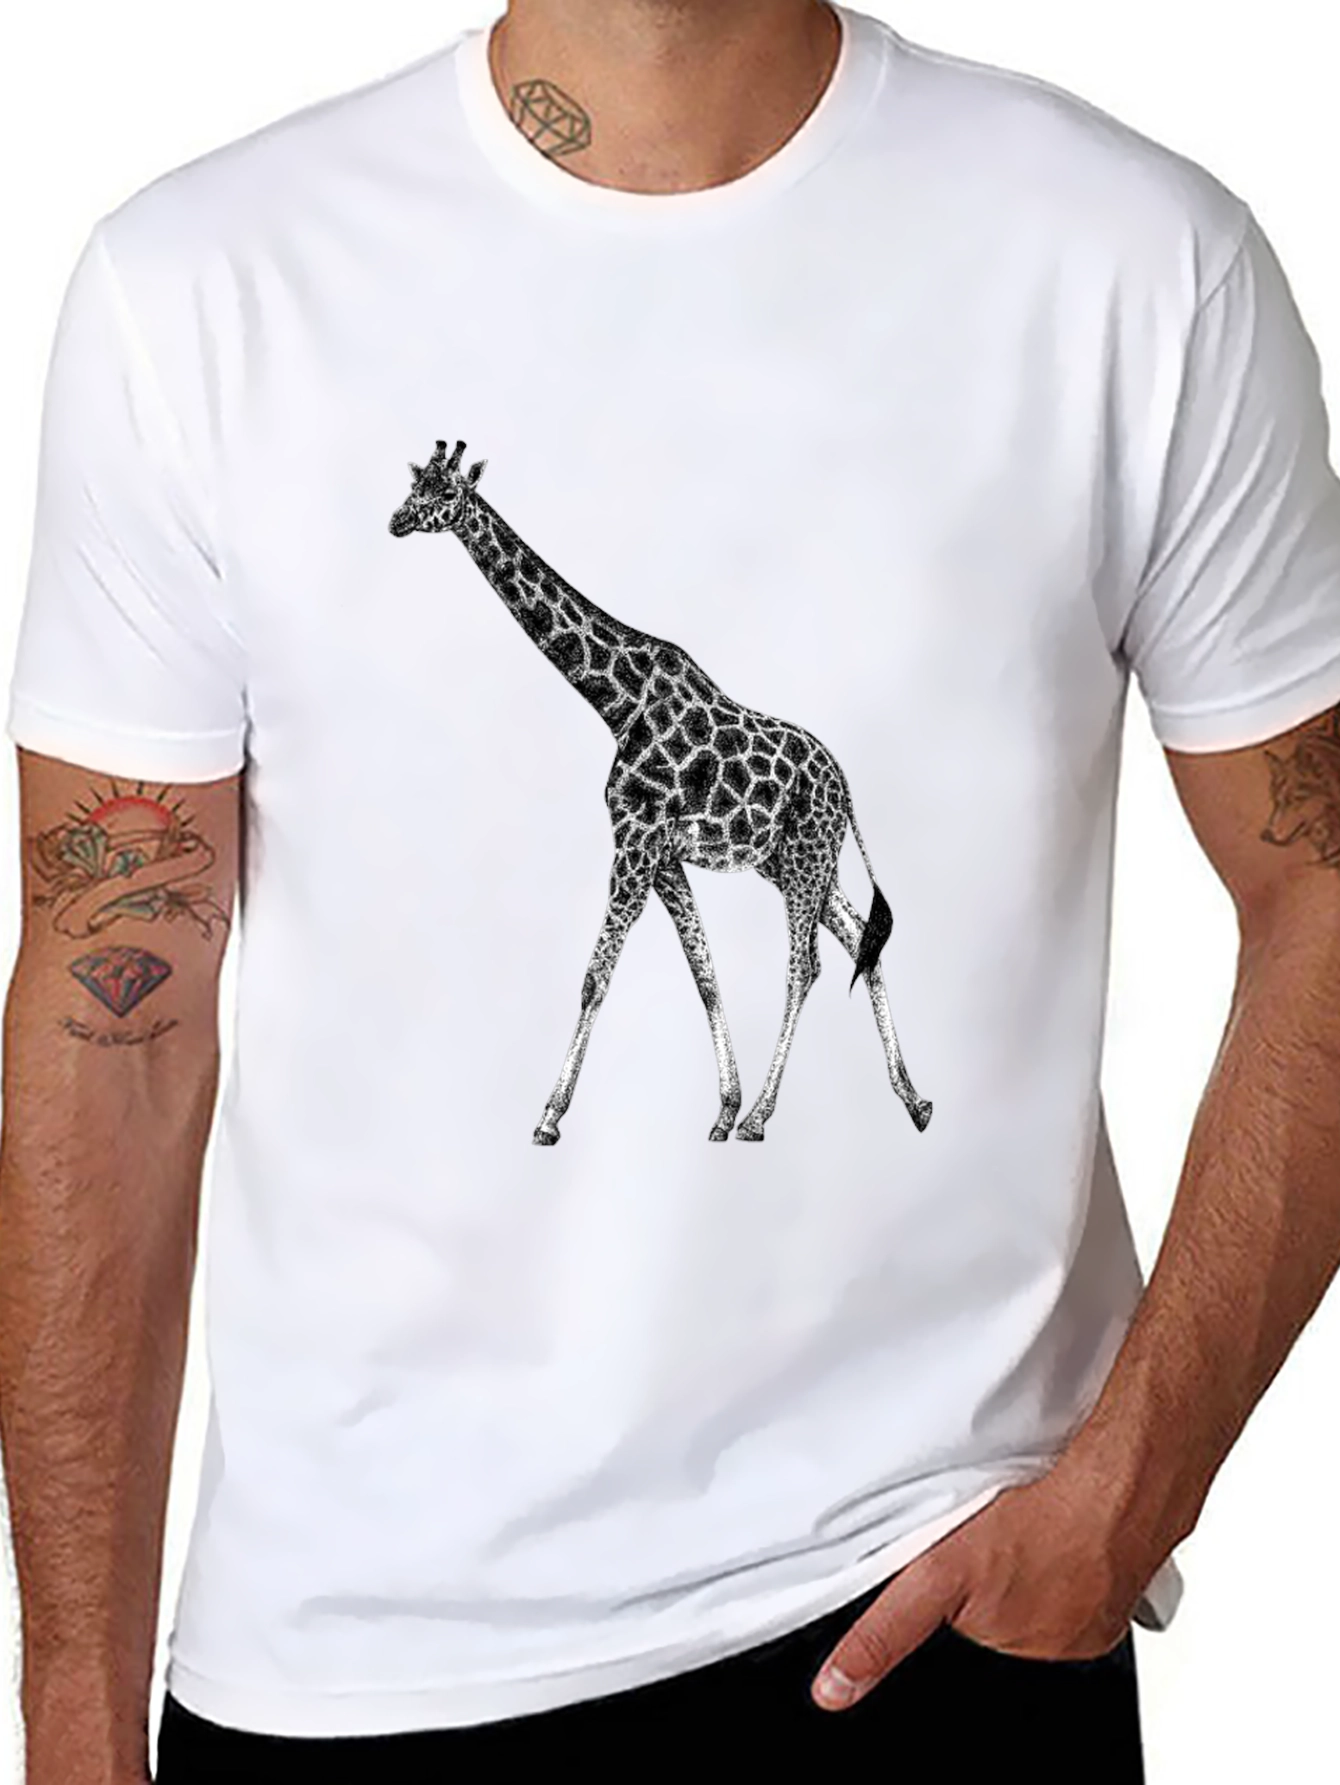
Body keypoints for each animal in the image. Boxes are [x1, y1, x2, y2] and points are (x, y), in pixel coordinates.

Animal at [389, 439, 933, 1146]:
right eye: (415, 485)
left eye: (445, 494)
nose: (396, 521)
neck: (617, 702)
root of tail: (846, 788)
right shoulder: (664, 856)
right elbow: (704, 976)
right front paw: (722, 1107)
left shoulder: (636, 843)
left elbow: (594, 978)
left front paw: (549, 1117)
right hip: (791, 863)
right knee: (857, 935)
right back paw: (912, 1101)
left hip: (807, 860)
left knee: (805, 965)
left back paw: (765, 1116)